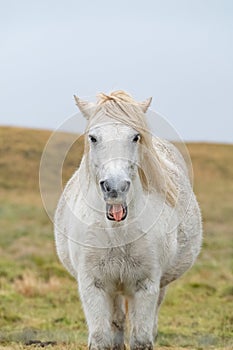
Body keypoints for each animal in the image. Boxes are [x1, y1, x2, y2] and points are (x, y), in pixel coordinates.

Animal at [55, 91, 202, 350]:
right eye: (93, 137)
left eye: (135, 137)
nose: (115, 188)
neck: (117, 230)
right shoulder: (94, 285)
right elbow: (102, 339)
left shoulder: (146, 285)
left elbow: (141, 339)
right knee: (117, 322)